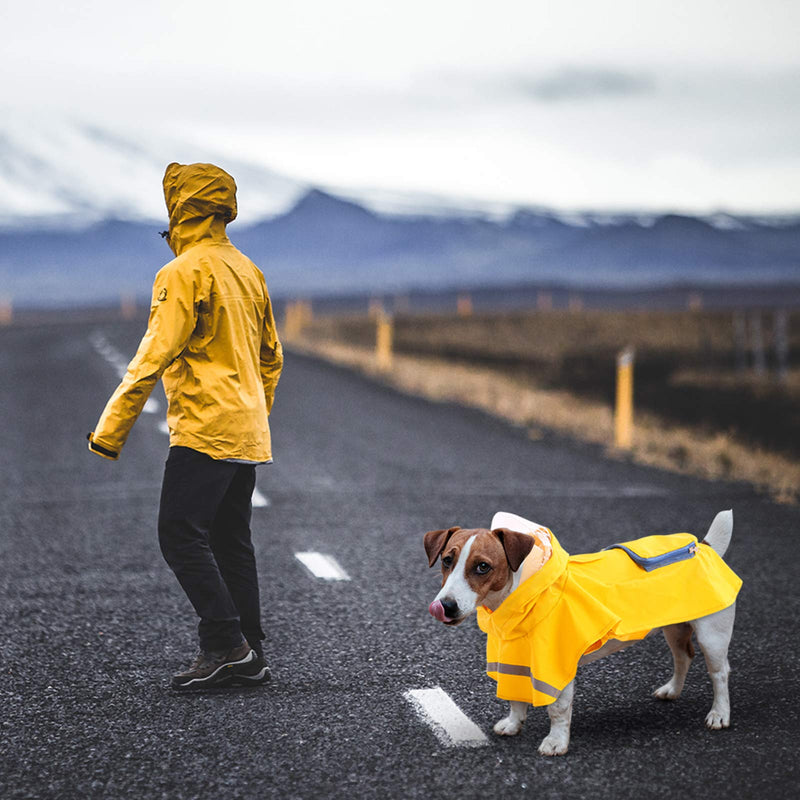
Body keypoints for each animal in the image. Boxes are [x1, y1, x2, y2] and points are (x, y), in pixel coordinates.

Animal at [424, 512, 744, 756]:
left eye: (482, 567)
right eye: (447, 560)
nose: (446, 606)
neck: (520, 594)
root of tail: (702, 546)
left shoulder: (557, 664)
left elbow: (558, 709)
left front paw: (556, 742)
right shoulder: (516, 658)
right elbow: (515, 698)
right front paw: (513, 724)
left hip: (712, 635)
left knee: (719, 673)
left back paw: (720, 714)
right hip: (675, 627)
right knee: (683, 657)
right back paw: (672, 690)